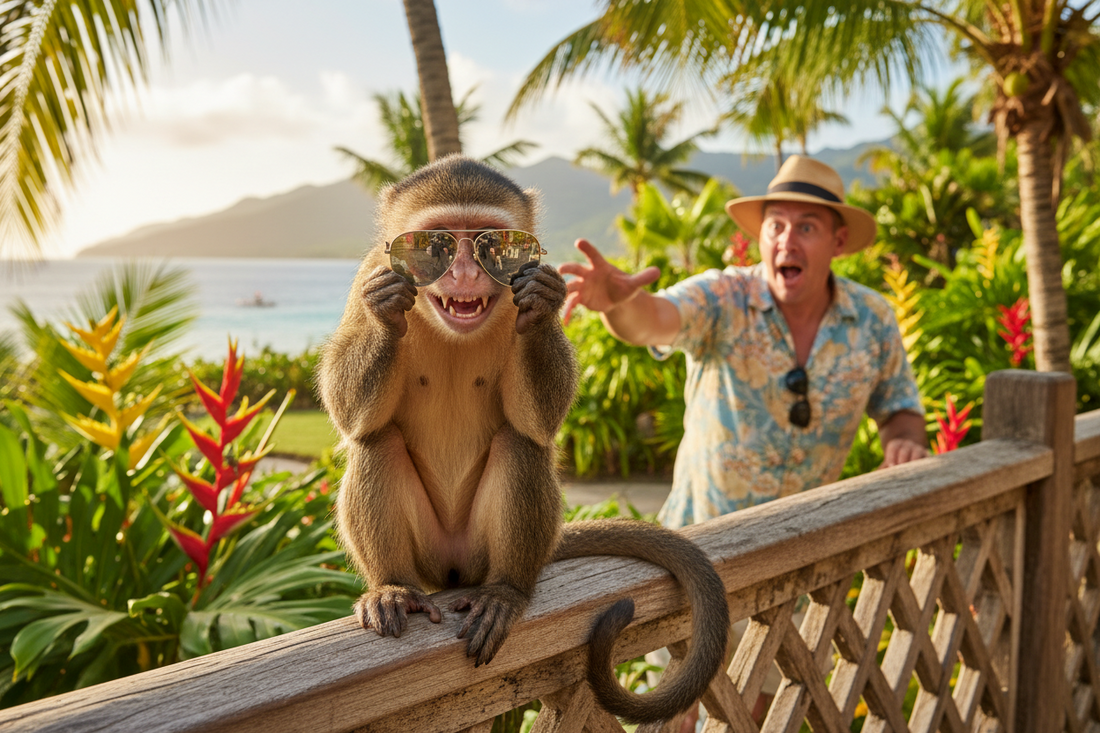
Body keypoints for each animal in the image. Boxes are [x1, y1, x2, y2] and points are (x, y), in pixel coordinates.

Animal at [318, 155, 728, 728]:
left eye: (494, 244)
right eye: (432, 244)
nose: (465, 273)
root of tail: (454, 571)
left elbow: (538, 424)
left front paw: (541, 304)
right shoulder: (365, 276)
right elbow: (351, 415)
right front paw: (385, 309)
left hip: (479, 551)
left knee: (520, 447)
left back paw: (506, 592)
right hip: (430, 556)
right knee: (377, 443)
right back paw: (392, 587)